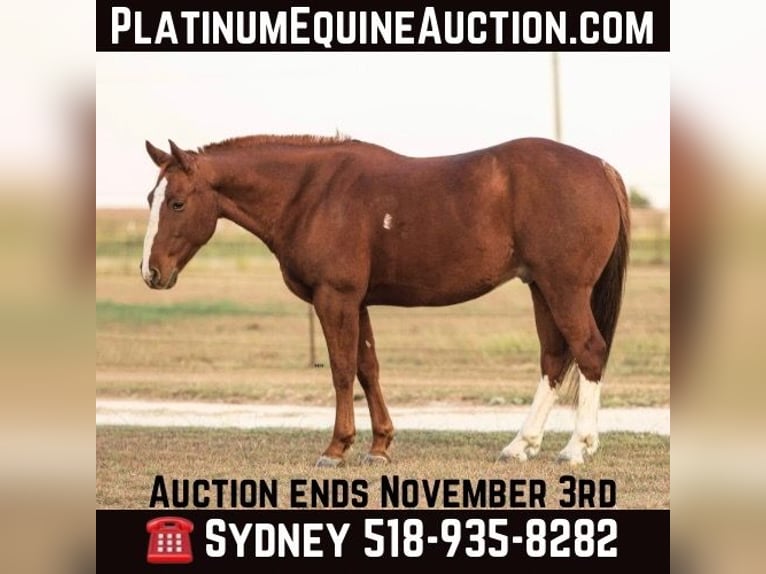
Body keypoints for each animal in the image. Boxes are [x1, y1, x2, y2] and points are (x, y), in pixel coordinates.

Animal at [139, 134, 629, 467]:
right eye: (150, 198)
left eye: (177, 203)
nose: (151, 272)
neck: (311, 193)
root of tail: (601, 166)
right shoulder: (356, 303)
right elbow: (367, 368)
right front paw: (379, 446)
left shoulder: (335, 298)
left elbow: (341, 371)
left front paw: (336, 448)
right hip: (541, 289)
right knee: (554, 359)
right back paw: (520, 445)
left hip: (564, 289)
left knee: (589, 351)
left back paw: (576, 448)